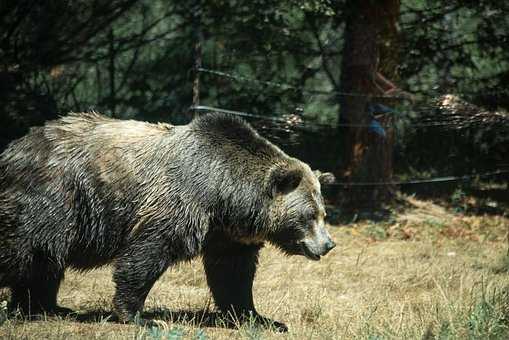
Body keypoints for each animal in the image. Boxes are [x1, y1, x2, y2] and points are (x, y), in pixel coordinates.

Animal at [0, 112, 336, 332]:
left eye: (323, 213)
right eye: (309, 215)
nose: (328, 244)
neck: (224, 194)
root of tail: (14, 147)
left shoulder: (227, 235)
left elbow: (233, 277)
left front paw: (263, 319)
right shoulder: (176, 204)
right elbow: (146, 255)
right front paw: (140, 316)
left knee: (44, 262)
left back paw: (44, 307)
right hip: (55, 199)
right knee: (23, 251)